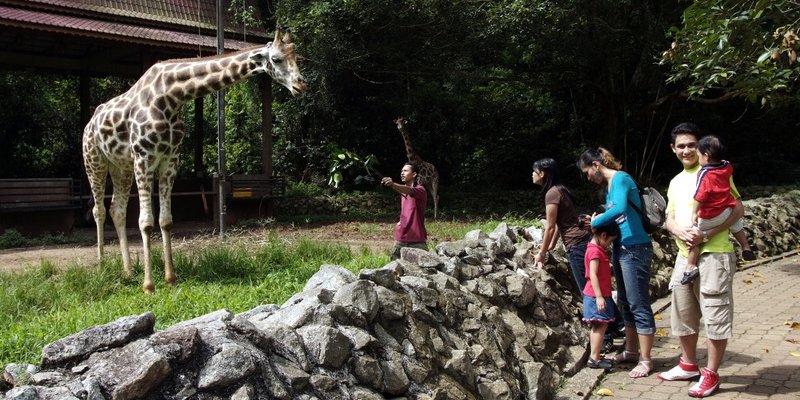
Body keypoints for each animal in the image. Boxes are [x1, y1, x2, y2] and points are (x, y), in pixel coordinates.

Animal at [82, 29, 306, 292]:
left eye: (296, 57)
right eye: (276, 59)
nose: (301, 84)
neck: (172, 97)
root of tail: (90, 123)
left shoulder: (169, 160)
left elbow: (166, 220)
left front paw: (170, 279)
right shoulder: (144, 158)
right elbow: (146, 222)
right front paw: (149, 285)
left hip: (121, 167)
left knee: (116, 209)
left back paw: (127, 271)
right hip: (94, 161)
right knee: (98, 209)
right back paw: (101, 266)